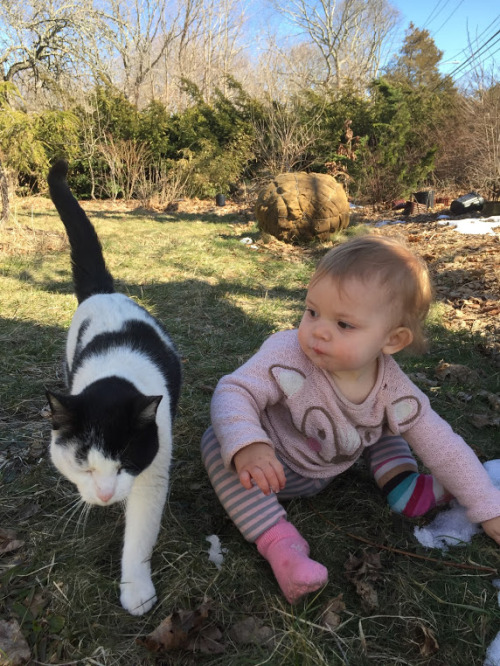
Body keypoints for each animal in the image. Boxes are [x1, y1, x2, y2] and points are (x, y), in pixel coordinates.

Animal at [45, 158, 182, 616]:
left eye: (123, 462)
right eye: (83, 465)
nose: (105, 495)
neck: (114, 373)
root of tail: (104, 292)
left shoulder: (154, 460)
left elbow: (139, 533)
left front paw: (136, 590)